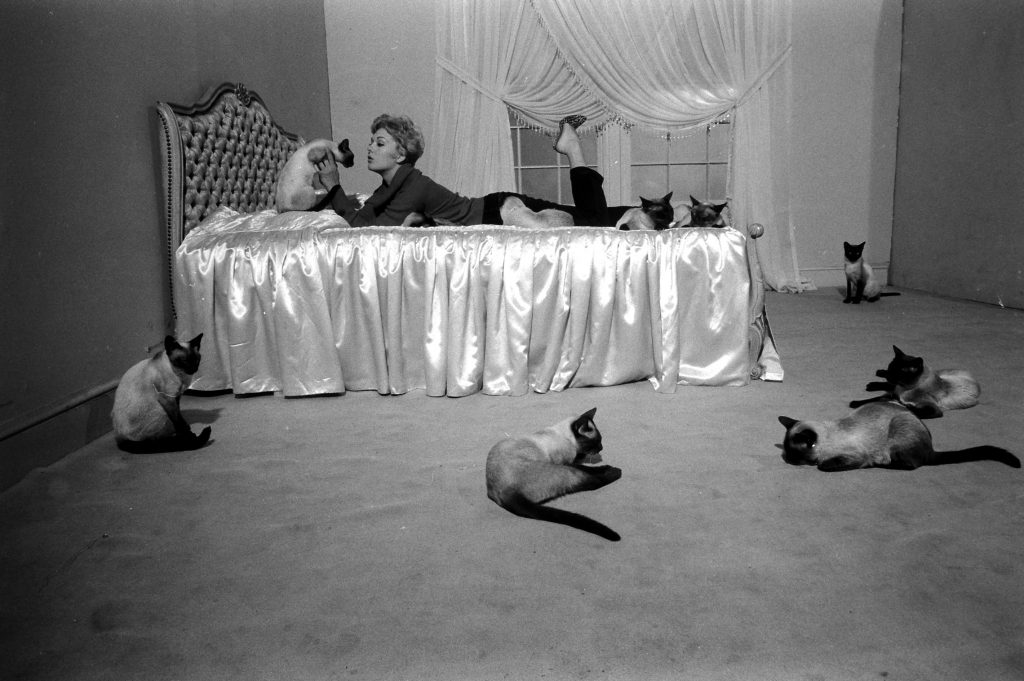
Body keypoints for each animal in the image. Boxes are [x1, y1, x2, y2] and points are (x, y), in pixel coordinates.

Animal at [483, 403, 618, 540]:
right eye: (596, 441)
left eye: (601, 440)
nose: (602, 448)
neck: (567, 439)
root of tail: (502, 491)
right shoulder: (566, 463)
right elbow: (589, 468)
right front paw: (604, 466)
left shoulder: (572, 460)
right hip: (563, 471)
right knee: (593, 482)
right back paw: (615, 471)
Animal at [774, 401, 1015, 471]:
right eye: (786, 453)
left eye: (793, 453)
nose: (788, 460)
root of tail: (931, 448)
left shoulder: (854, 457)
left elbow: (823, 465)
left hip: (899, 427)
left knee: (909, 464)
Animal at [847, 342, 983, 417]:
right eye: (890, 368)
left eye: (898, 373)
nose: (889, 375)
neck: (905, 389)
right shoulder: (892, 394)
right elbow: (870, 400)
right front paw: (854, 403)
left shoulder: (932, 410)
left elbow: (910, 409)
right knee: (888, 386)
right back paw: (874, 380)